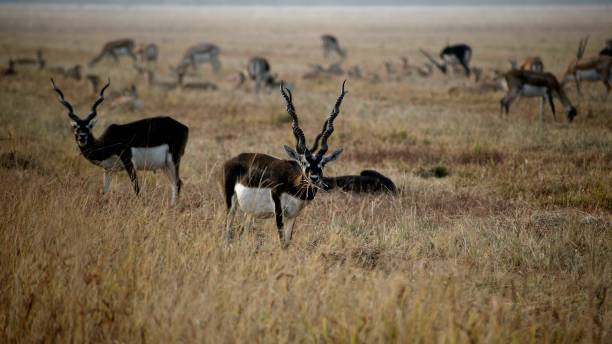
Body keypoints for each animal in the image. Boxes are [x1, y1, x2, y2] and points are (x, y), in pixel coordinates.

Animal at [50, 79, 189, 206]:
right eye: (75, 127)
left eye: (89, 126)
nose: (82, 137)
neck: (108, 142)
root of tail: (184, 127)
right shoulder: (108, 170)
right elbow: (104, 191)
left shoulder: (128, 162)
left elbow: (136, 188)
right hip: (165, 165)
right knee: (175, 183)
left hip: (173, 161)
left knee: (177, 183)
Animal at [224, 82, 350, 249]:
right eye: (303, 162)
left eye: (323, 163)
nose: (314, 178)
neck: (293, 186)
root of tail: (234, 159)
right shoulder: (279, 211)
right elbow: (282, 242)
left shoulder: (292, 216)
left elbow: (288, 242)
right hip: (231, 204)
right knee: (228, 229)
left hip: (249, 212)